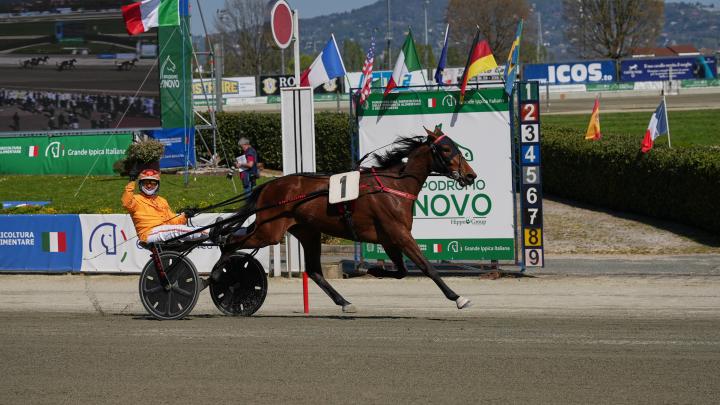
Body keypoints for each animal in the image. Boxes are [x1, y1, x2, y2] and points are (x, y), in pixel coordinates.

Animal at [214, 125, 478, 312]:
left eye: (457, 147)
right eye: (446, 150)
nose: (470, 175)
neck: (394, 185)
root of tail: (269, 186)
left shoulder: (389, 238)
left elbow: (402, 271)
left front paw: (372, 269)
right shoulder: (399, 234)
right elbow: (427, 267)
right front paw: (458, 298)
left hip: (307, 232)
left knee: (314, 270)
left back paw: (344, 302)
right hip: (270, 231)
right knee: (229, 242)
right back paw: (220, 276)